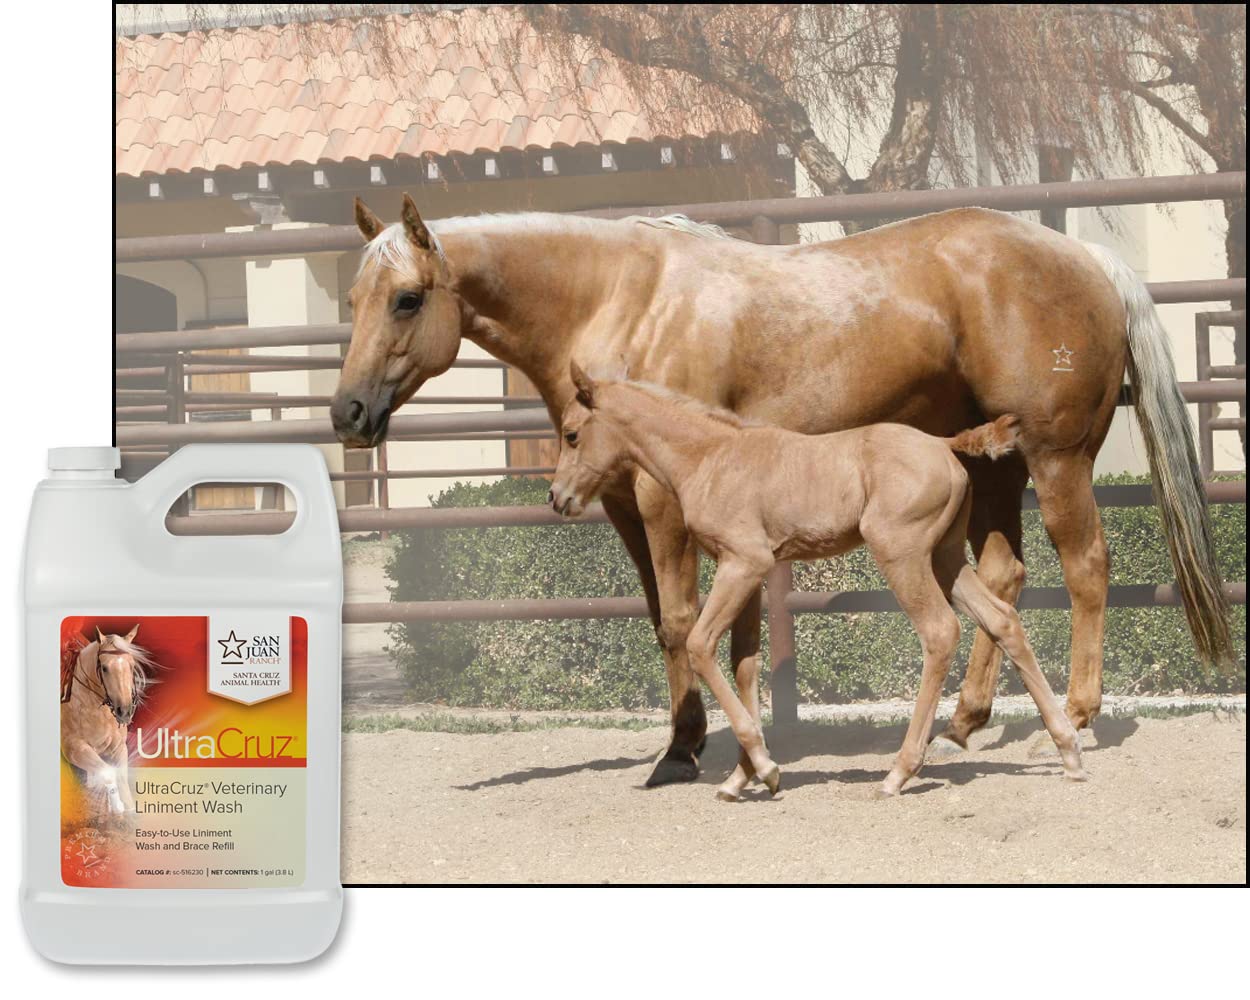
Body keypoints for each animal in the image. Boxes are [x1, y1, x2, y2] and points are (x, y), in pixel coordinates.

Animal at [60, 625, 155, 818]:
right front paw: (117, 807)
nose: (124, 711)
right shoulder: (74, 749)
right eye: (104, 668)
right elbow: (107, 772)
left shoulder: (119, 747)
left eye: (131, 666)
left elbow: (121, 776)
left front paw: (129, 810)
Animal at [549, 364, 1085, 798]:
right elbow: (745, 664)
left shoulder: (743, 563)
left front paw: (765, 769)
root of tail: (941, 443)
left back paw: (900, 771)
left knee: (939, 632)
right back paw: (1068, 751)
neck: (710, 457)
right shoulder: (747, 571)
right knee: (1003, 619)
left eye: (571, 434)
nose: (557, 497)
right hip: (945, 557)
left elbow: (701, 646)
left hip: (903, 554)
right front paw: (742, 777)